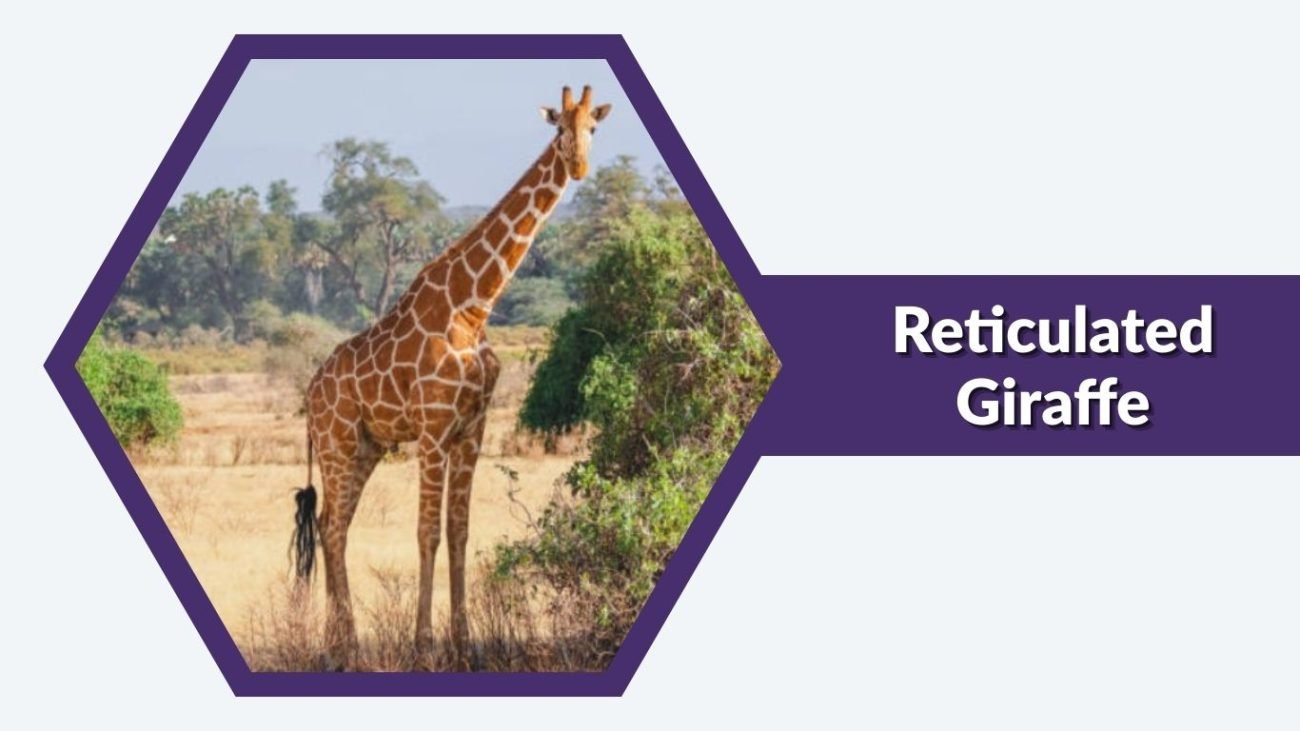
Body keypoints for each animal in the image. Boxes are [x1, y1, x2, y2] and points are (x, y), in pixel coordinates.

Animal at [291, 85, 612, 670]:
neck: (474, 306)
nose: (578, 166)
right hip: (337, 443)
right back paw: (346, 647)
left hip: (365, 447)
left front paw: (465, 646)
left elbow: (460, 532)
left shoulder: (471, 430)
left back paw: (337, 646)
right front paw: (424, 646)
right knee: (332, 528)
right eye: (559, 128)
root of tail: (310, 394)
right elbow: (428, 534)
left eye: (593, 129)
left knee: (330, 527)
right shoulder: (434, 430)